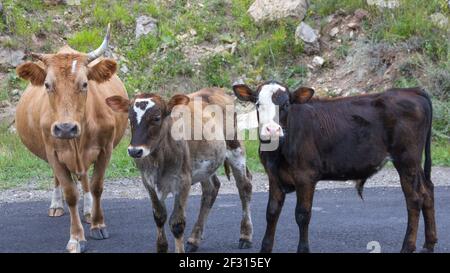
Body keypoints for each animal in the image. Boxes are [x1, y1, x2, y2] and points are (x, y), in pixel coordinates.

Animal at [14, 25, 127, 251]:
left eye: (84, 84)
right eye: (47, 85)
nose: (66, 128)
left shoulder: (106, 149)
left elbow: (97, 186)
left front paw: (97, 224)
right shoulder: (54, 154)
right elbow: (71, 194)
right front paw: (76, 238)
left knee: (84, 179)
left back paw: (88, 211)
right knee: (61, 180)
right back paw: (56, 205)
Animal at [105, 88, 253, 252]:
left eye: (156, 118)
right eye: (130, 118)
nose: (135, 151)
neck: (159, 158)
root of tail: (216, 90)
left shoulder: (183, 181)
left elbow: (177, 223)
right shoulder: (148, 181)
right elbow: (159, 216)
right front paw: (161, 247)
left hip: (235, 147)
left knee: (244, 187)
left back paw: (245, 236)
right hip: (205, 165)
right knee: (211, 189)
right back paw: (194, 239)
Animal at [234, 81, 434, 253]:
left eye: (287, 104)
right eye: (258, 104)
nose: (272, 130)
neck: (278, 151)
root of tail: (412, 91)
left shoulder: (306, 176)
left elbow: (302, 215)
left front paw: (303, 249)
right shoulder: (274, 176)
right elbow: (272, 212)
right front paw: (265, 249)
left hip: (406, 159)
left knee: (414, 199)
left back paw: (408, 247)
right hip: (414, 163)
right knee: (427, 192)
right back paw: (429, 244)